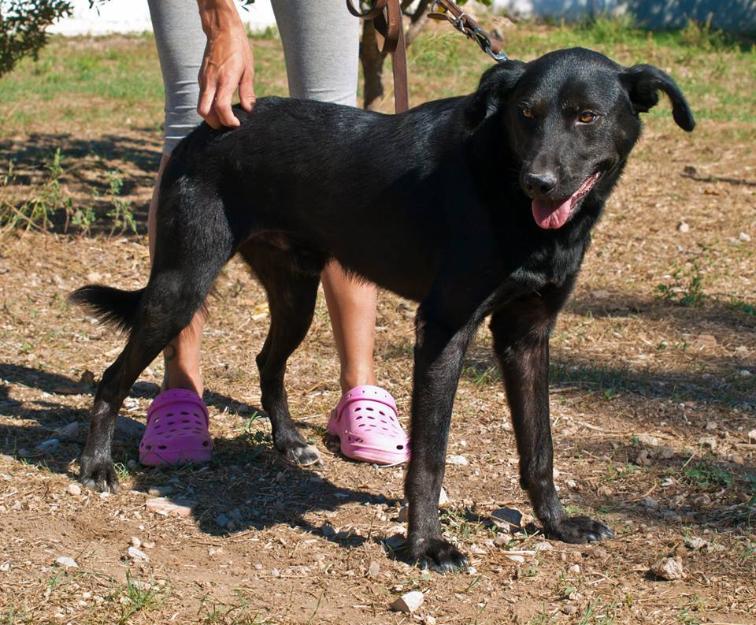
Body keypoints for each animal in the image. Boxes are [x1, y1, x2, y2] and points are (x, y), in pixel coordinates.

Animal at [71, 48, 692, 572]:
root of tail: (201, 131)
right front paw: (426, 546)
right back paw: (96, 465)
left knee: (267, 361)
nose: (539, 181)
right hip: (181, 286)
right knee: (112, 376)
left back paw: (289, 442)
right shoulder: (442, 330)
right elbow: (429, 458)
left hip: (296, 294)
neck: (501, 181)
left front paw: (558, 524)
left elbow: (540, 447)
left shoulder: (527, 336)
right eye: (526, 114)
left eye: (586, 116)